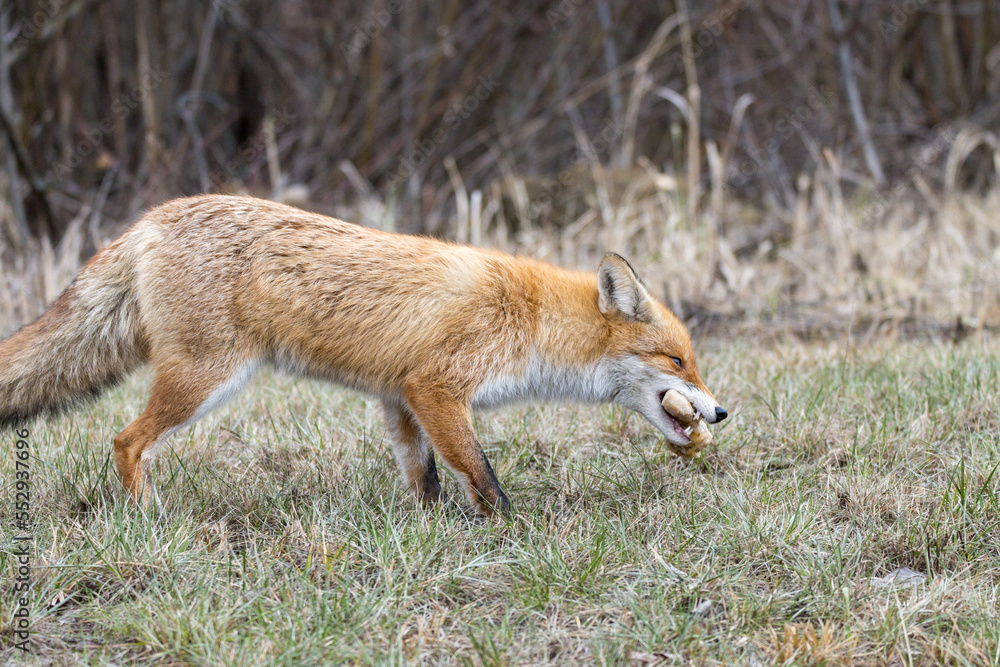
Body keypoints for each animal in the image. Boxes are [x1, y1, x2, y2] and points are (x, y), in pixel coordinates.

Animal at [0, 196, 728, 516]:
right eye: (678, 362)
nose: (720, 413)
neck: (532, 319)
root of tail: (152, 216)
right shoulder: (438, 387)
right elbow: (483, 475)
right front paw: (511, 531)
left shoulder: (400, 397)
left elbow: (425, 475)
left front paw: (434, 527)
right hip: (203, 380)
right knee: (125, 440)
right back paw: (147, 516)